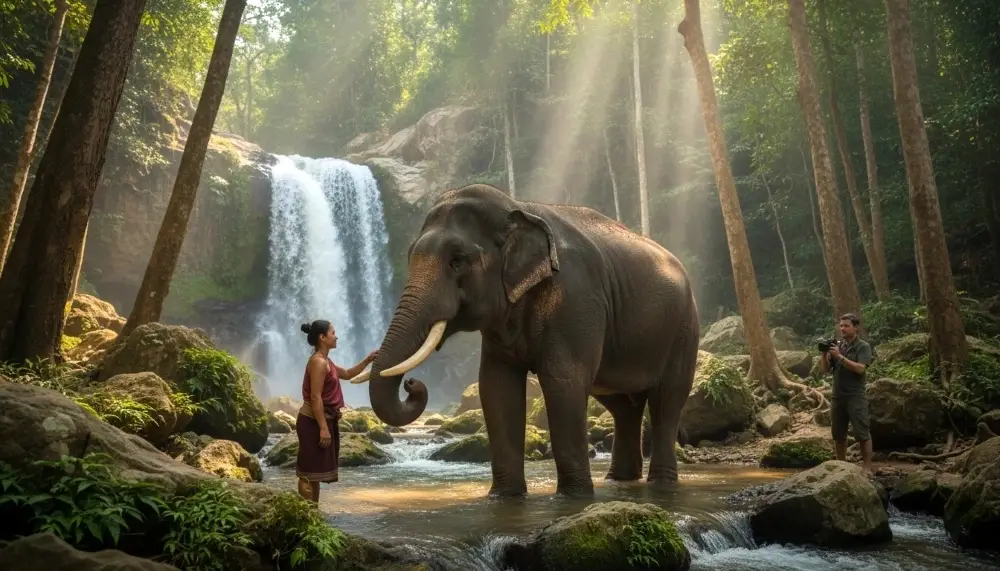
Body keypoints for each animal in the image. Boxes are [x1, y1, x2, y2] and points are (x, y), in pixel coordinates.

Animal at [352, 183, 699, 498]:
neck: (518, 206)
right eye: (410, 256)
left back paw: (661, 483)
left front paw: (574, 496)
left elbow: (564, 381)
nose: (412, 384)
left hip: (684, 329)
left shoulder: (577, 299)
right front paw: (504, 496)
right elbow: (496, 387)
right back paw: (620, 481)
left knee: (667, 400)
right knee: (623, 407)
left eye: (457, 260)